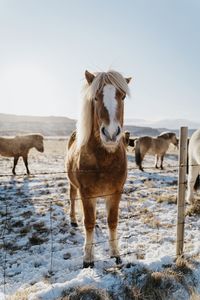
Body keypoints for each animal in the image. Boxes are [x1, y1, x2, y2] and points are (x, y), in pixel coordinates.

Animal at [66, 69, 131, 268]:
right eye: (95, 97)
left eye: (122, 96)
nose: (110, 134)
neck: (104, 159)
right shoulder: (86, 193)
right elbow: (87, 222)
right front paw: (88, 258)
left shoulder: (116, 192)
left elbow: (112, 221)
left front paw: (116, 253)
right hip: (73, 185)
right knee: (72, 198)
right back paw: (73, 220)